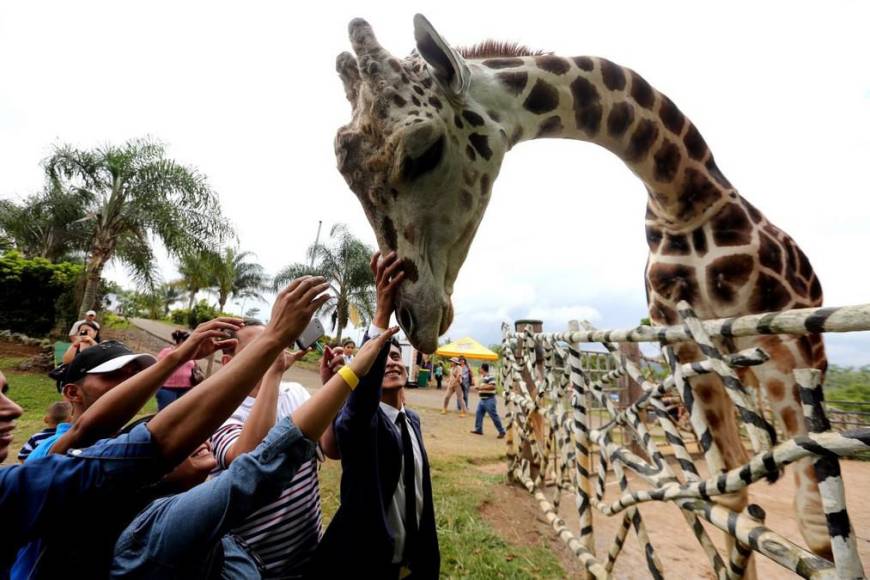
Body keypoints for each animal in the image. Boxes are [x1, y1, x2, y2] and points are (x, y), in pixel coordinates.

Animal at [332, 14, 832, 572]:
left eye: (424, 149)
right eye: (346, 172)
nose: (416, 317)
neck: (681, 195)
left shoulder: (785, 336)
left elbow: (814, 532)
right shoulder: (683, 344)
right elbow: (732, 496)